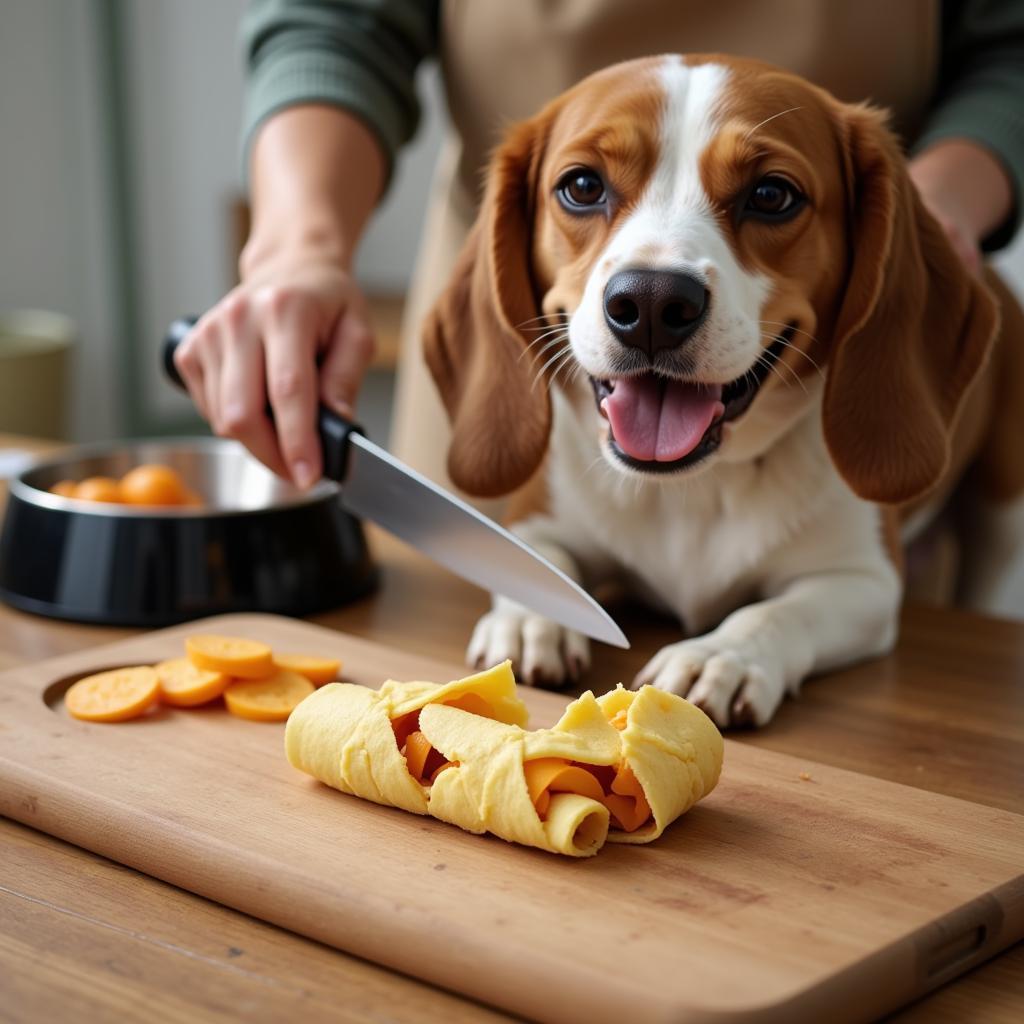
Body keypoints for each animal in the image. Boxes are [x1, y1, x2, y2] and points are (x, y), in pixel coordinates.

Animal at [421, 54, 1024, 729]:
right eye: (582, 186)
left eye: (771, 195)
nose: (651, 303)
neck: (691, 489)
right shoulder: (534, 521)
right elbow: (535, 562)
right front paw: (531, 620)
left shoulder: (863, 581)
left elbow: (775, 611)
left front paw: (720, 655)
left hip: (1004, 520)